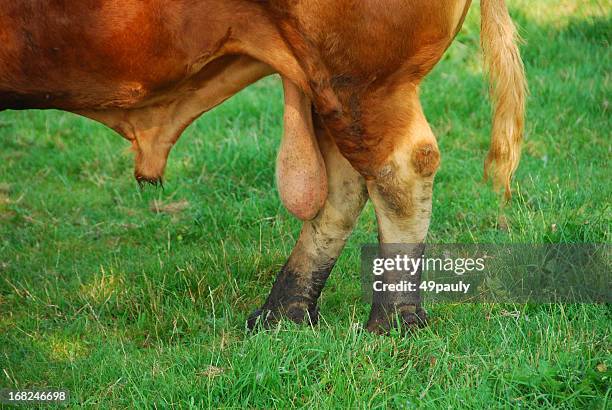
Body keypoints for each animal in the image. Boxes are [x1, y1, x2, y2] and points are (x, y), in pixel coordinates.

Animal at [0, 0, 524, 334]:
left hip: (367, 78)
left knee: (402, 169)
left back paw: (393, 322)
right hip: (325, 83)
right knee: (344, 186)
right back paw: (281, 314)